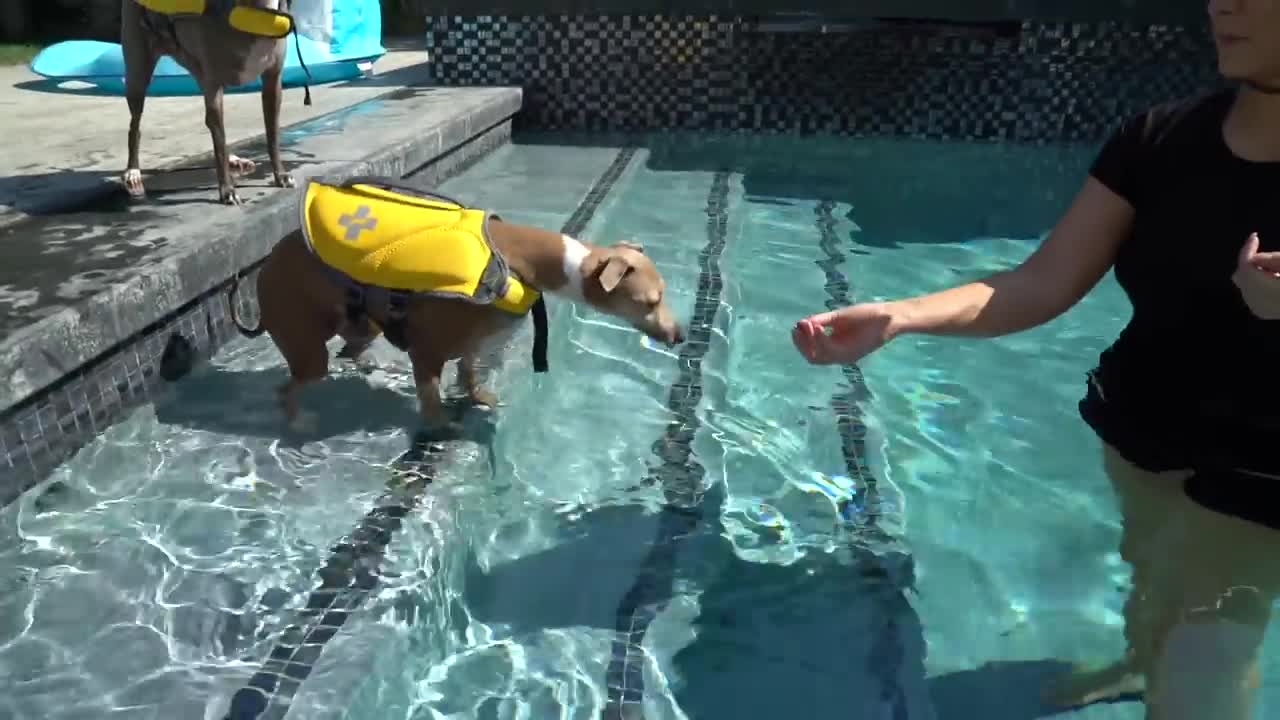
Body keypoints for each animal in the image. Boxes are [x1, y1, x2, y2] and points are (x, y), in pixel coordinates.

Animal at [121, 0, 307, 204]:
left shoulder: (273, 79)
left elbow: (272, 134)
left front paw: (280, 175)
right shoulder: (213, 85)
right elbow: (220, 142)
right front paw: (227, 190)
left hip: (192, 64)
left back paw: (235, 160)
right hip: (138, 75)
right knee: (134, 126)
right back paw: (133, 172)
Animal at [232, 176, 691, 435]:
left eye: (663, 295)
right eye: (651, 301)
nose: (681, 335)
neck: (514, 262)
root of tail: (264, 265)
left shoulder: (471, 343)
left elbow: (469, 371)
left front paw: (477, 397)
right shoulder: (427, 350)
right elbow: (432, 398)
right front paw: (441, 425)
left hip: (361, 323)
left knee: (351, 347)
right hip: (307, 347)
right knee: (288, 387)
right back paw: (297, 420)